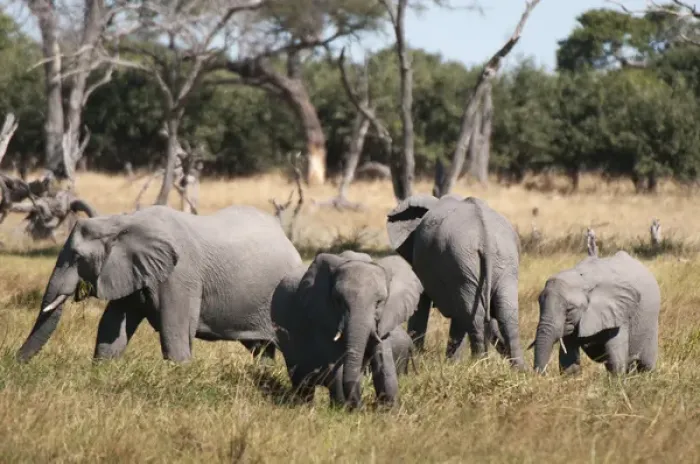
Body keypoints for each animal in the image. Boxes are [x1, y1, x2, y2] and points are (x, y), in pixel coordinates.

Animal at [16, 204, 303, 363]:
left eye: (77, 257)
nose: (12, 362)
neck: (122, 221)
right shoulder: (129, 269)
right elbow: (111, 328)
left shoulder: (179, 275)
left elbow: (174, 332)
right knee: (261, 350)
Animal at [270, 250, 423, 409]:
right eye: (339, 301)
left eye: (379, 302)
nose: (363, 406)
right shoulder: (322, 317)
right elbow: (336, 366)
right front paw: (343, 409)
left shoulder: (385, 319)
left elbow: (383, 361)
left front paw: (390, 410)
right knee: (301, 379)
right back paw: (303, 405)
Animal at [386, 194, 525, 370]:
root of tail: (485, 234)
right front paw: (452, 364)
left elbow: (422, 305)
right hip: (501, 262)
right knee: (505, 314)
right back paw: (518, 369)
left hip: (462, 261)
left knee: (473, 315)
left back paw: (478, 364)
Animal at [531, 250, 660, 375]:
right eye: (540, 306)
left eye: (569, 310)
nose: (541, 373)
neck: (582, 278)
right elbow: (569, 364)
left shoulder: (619, 312)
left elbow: (615, 362)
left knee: (645, 363)